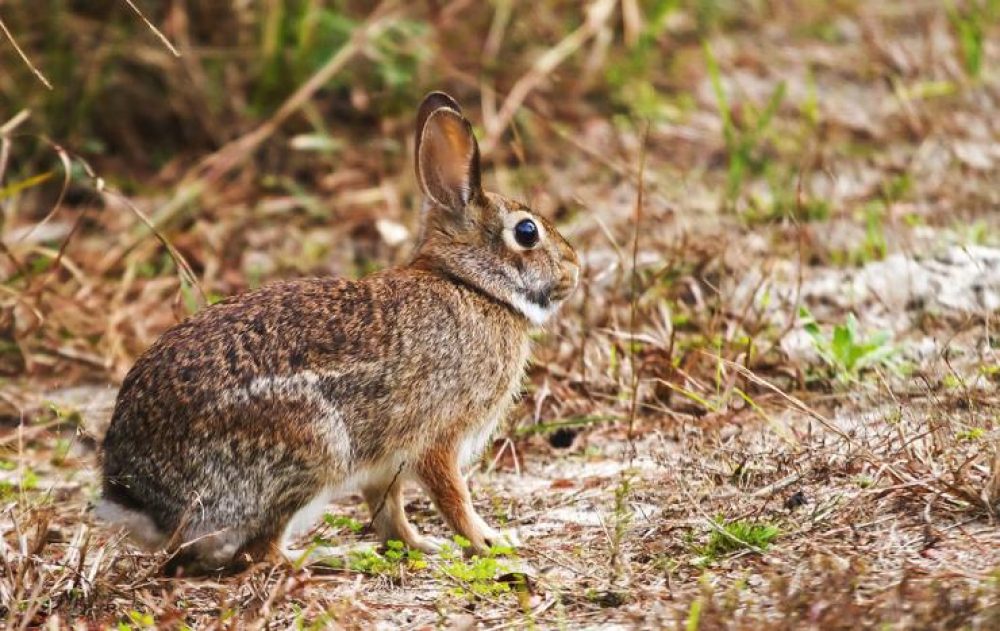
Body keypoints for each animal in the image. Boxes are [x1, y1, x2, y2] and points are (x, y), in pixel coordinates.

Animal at [95, 91, 580, 576]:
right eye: (527, 232)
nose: (574, 270)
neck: (471, 285)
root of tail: (140, 499)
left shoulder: (385, 463)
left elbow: (389, 510)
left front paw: (421, 546)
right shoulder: (438, 435)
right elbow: (452, 497)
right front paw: (490, 542)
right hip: (314, 449)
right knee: (261, 552)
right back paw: (332, 555)